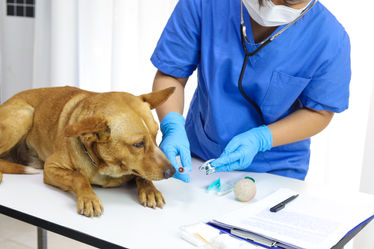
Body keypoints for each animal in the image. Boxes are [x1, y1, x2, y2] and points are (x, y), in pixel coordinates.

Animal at [0, 86, 177, 217]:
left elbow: (142, 175)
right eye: (138, 144)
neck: (105, 167)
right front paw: (89, 198)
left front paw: (150, 190)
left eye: (156, 134)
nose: (172, 171)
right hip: (25, 114)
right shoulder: (50, 167)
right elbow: (78, 177)